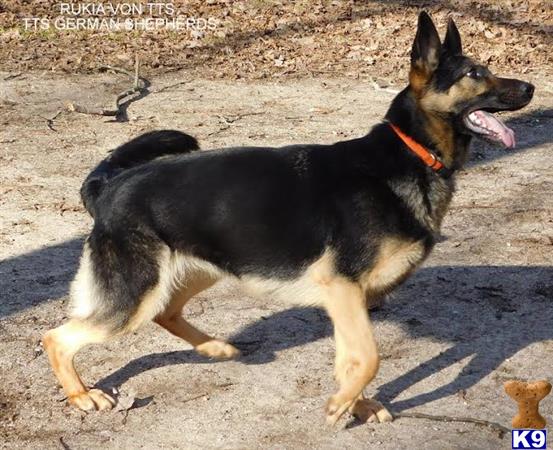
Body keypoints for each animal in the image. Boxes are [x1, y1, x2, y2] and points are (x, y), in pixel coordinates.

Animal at [44, 12, 536, 424]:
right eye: (475, 74)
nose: (531, 88)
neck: (411, 151)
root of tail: (109, 187)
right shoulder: (342, 288)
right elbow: (369, 357)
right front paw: (341, 406)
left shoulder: (348, 300)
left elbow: (351, 360)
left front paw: (356, 405)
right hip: (135, 295)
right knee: (58, 337)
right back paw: (82, 395)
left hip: (203, 270)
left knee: (166, 312)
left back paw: (216, 348)